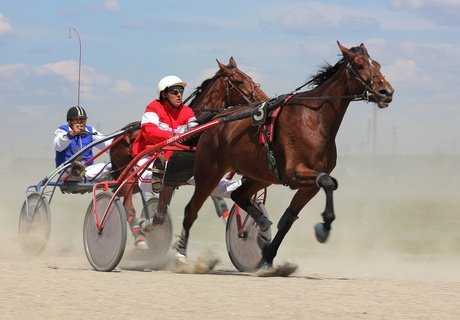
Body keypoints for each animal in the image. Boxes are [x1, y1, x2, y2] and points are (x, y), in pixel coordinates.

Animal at [110, 57, 270, 240]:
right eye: (239, 81)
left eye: (250, 78)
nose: (264, 99)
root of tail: (119, 136)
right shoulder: (180, 170)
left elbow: (220, 201)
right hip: (129, 175)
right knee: (125, 201)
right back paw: (137, 235)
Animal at [174, 41, 394, 268]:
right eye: (359, 65)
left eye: (377, 64)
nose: (386, 91)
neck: (314, 117)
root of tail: (216, 120)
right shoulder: (295, 172)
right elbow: (327, 181)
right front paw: (323, 228)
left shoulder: (309, 185)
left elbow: (290, 217)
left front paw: (268, 257)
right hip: (208, 172)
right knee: (191, 210)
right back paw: (181, 255)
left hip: (260, 176)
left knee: (238, 195)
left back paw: (261, 224)